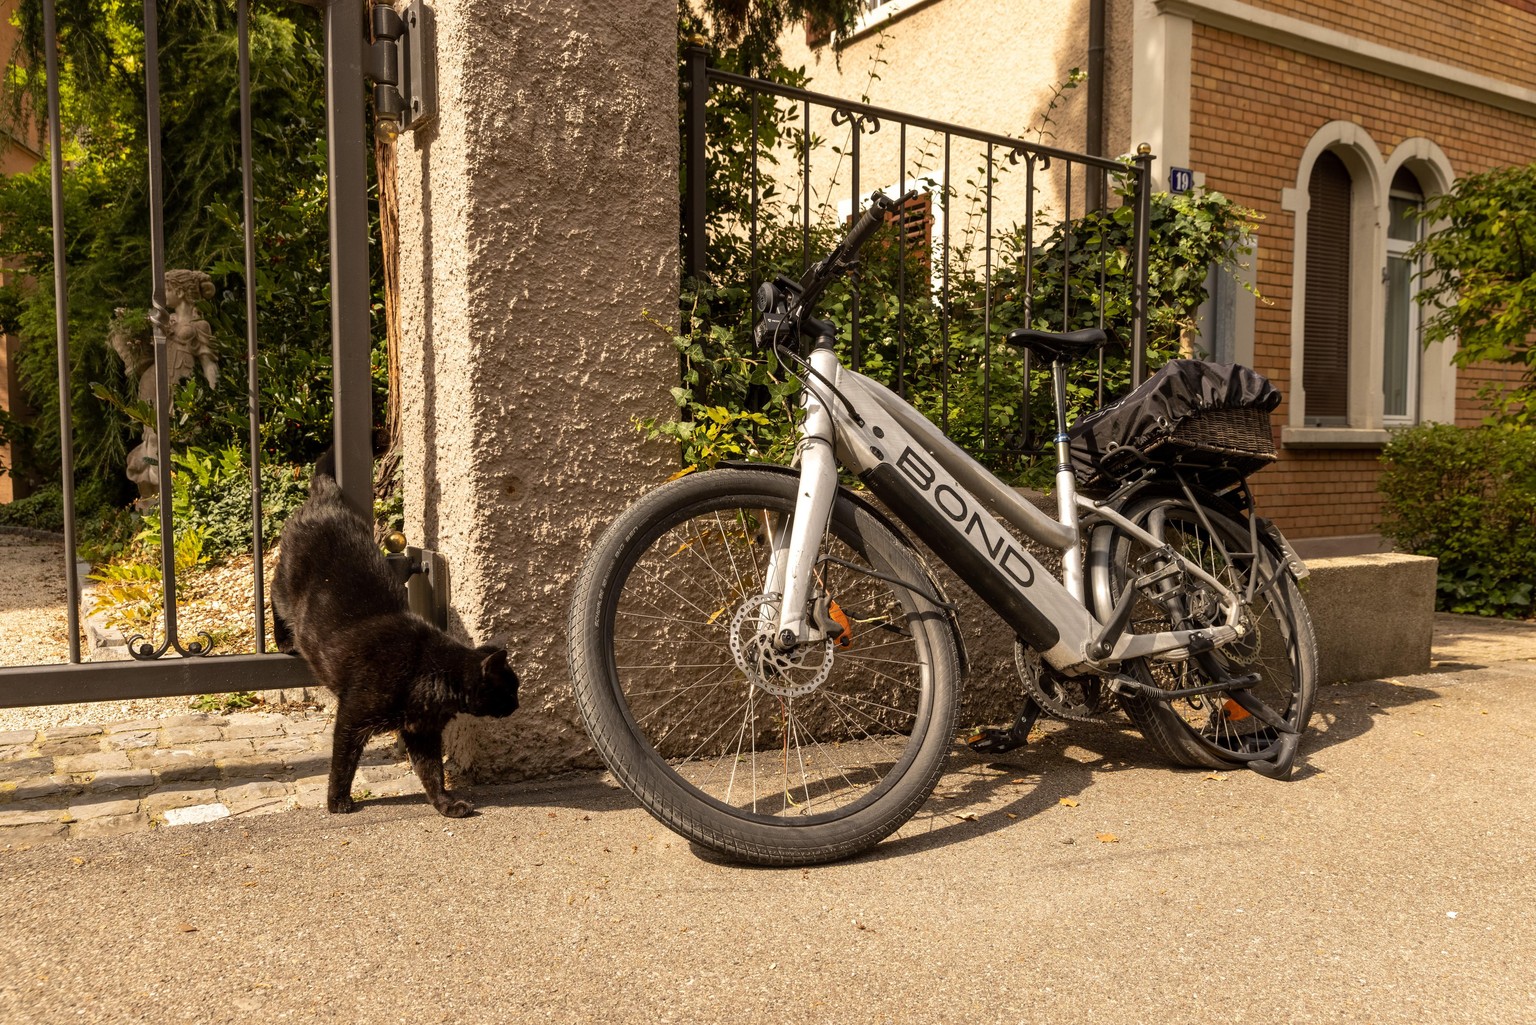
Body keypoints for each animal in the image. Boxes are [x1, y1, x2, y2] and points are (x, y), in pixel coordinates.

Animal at [273, 451, 519, 823]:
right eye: (510, 688)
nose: (518, 704)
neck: (428, 675)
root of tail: (326, 502)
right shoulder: (352, 716)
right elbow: (343, 762)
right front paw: (337, 802)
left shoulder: (422, 733)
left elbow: (432, 774)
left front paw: (446, 804)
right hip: (285, 585)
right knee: (271, 597)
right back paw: (283, 641)